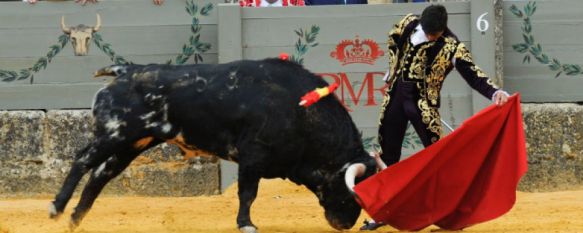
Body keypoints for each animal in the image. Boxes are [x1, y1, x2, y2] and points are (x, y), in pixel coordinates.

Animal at [50, 57, 378, 231]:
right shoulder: (253, 156)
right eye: (351, 192)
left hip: (134, 142)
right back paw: (57, 208)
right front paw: (246, 223)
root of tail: (126, 71)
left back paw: (75, 220)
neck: (300, 110)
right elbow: (248, 194)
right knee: (83, 160)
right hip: (114, 134)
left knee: (100, 174)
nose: (346, 224)